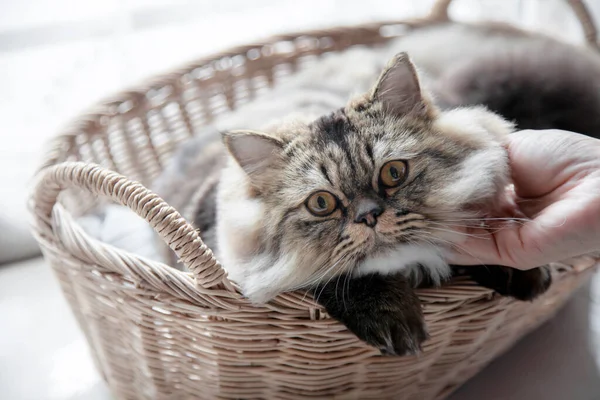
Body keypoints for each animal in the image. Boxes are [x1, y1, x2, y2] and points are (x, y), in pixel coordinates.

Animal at [154, 20, 600, 354]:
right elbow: (335, 279)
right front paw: (394, 321)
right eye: (321, 203)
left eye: (393, 174)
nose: (369, 216)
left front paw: (523, 274)